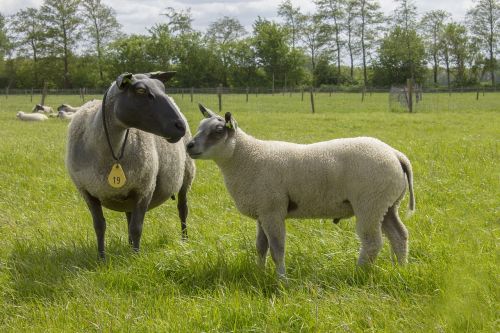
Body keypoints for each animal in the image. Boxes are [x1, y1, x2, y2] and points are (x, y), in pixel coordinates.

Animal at [64, 72, 193, 260]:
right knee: (128, 216)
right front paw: (101, 258)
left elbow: (136, 228)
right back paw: (129, 245)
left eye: (162, 87)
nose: (180, 126)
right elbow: (99, 226)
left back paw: (184, 240)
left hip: (186, 175)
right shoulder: (87, 192)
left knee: (182, 209)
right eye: (140, 91)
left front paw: (136, 258)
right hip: (127, 191)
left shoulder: (144, 188)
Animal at [187, 104, 414, 278]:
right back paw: (400, 269)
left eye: (218, 131)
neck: (246, 158)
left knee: (372, 242)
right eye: (199, 127)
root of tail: (396, 154)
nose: (188, 146)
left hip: (370, 203)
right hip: (387, 204)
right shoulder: (262, 212)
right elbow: (261, 247)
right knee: (399, 235)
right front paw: (259, 273)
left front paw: (281, 279)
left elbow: (277, 249)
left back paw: (358, 273)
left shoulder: (273, 211)